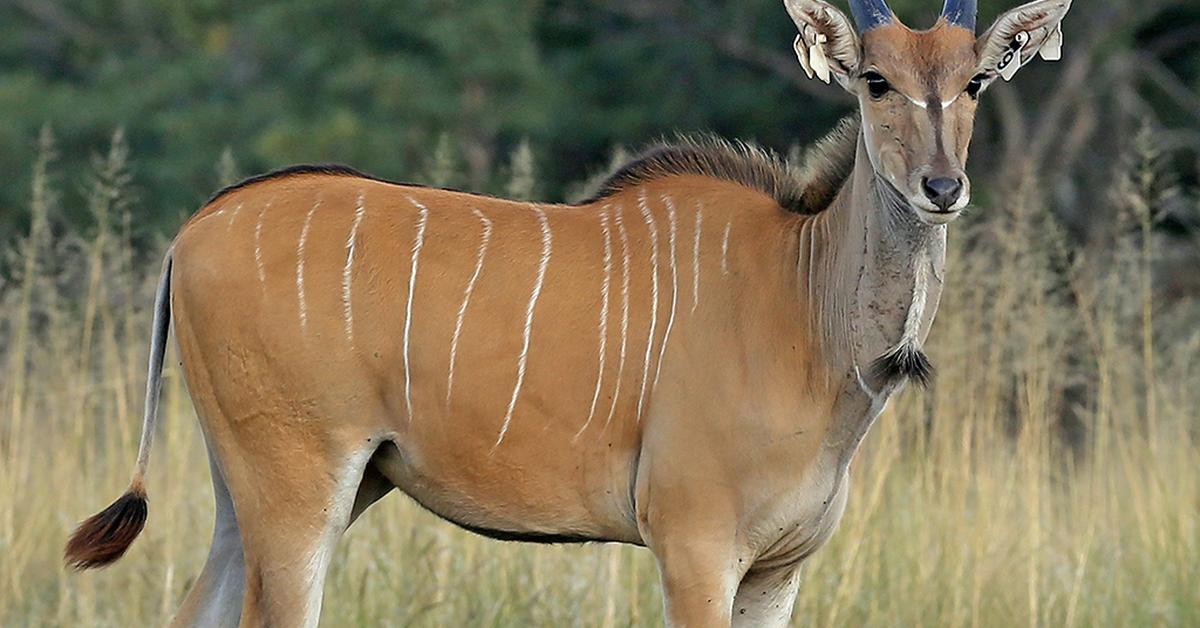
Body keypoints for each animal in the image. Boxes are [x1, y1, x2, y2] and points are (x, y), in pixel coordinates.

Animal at [68, 1, 1070, 624]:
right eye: (874, 81)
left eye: (975, 84)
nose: (943, 187)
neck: (802, 299)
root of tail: (194, 229)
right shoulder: (694, 547)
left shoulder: (779, 569)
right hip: (298, 486)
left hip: (264, 493)